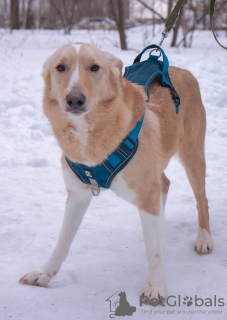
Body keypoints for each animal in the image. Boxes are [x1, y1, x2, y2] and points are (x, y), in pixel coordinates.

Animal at [19, 43, 213, 300]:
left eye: (95, 67)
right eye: (60, 67)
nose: (74, 99)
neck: (88, 134)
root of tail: (184, 71)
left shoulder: (146, 193)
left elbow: (154, 253)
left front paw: (156, 287)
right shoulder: (77, 195)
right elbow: (62, 241)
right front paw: (45, 273)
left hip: (192, 155)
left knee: (202, 199)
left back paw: (203, 238)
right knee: (165, 183)